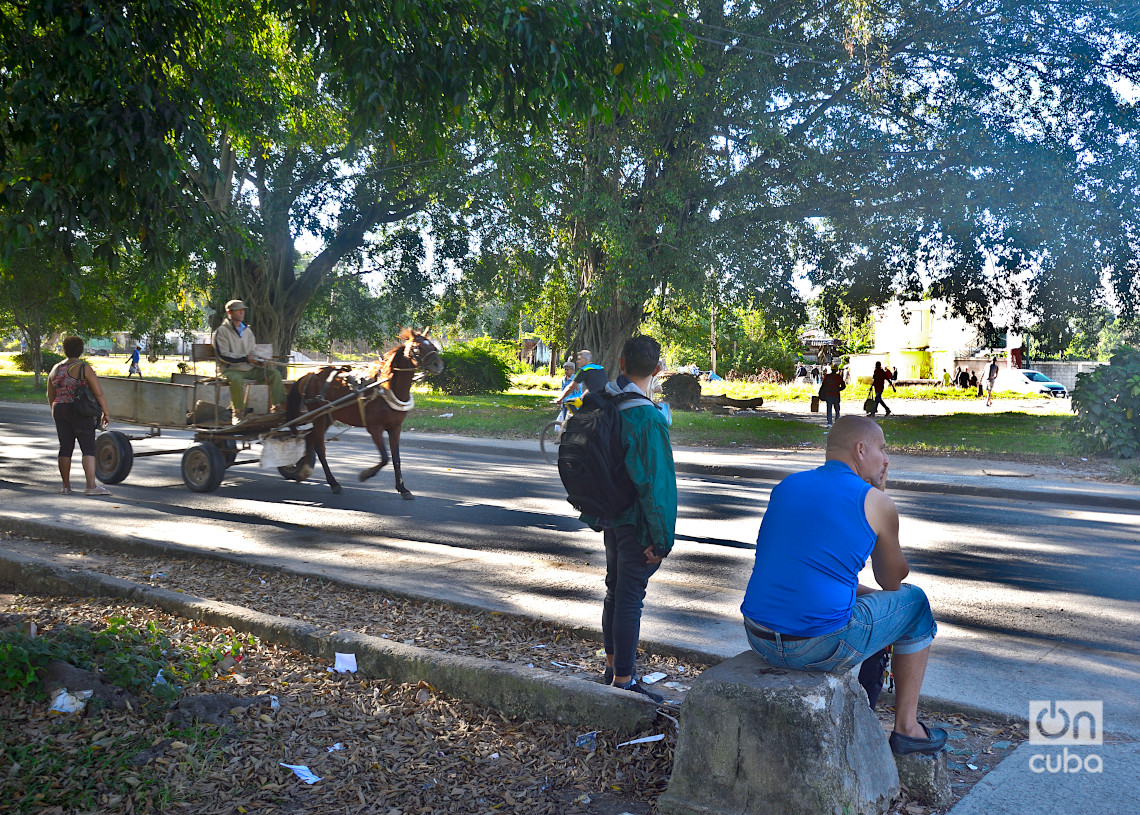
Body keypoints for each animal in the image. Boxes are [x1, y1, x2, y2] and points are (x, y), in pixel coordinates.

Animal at [282, 330, 442, 496]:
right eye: (417, 348)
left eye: (433, 346)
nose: (438, 365)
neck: (387, 387)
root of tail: (308, 374)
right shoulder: (374, 428)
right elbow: (385, 458)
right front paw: (366, 474)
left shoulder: (395, 428)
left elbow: (396, 458)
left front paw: (402, 488)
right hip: (317, 415)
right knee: (320, 447)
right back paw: (333, 482)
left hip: (326, 417)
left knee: (310, 438)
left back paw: (304, 471)